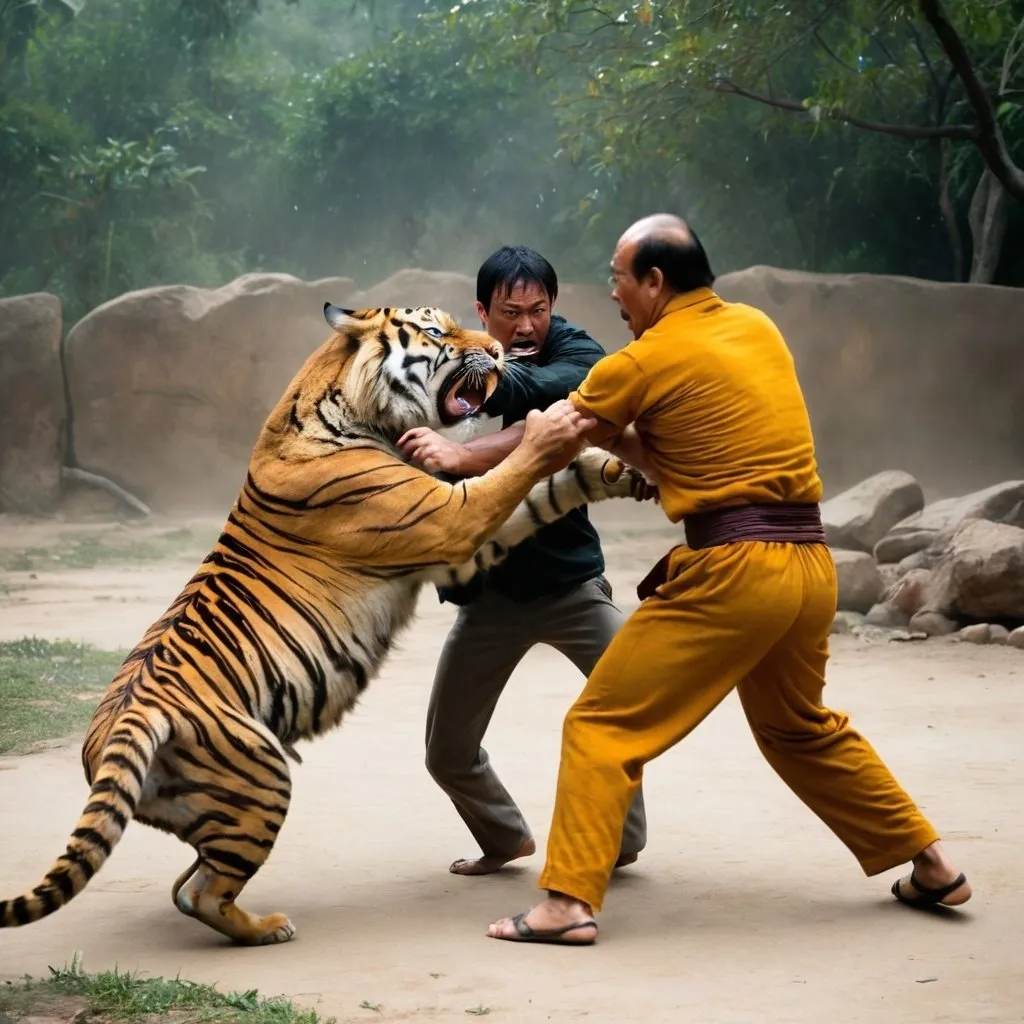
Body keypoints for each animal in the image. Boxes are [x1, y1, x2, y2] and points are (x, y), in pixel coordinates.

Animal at [0, 299, 655, 946]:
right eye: (438, 330)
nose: (498, 351)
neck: (352, 408)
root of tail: (114, 730)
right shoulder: (451, 521)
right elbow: (519, 469)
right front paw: (557, 429)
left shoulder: (461, 544)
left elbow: (544, 493)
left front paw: (614, 470)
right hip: (262, 777)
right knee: (206, 893)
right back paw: (269, 928)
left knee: (187, 886)